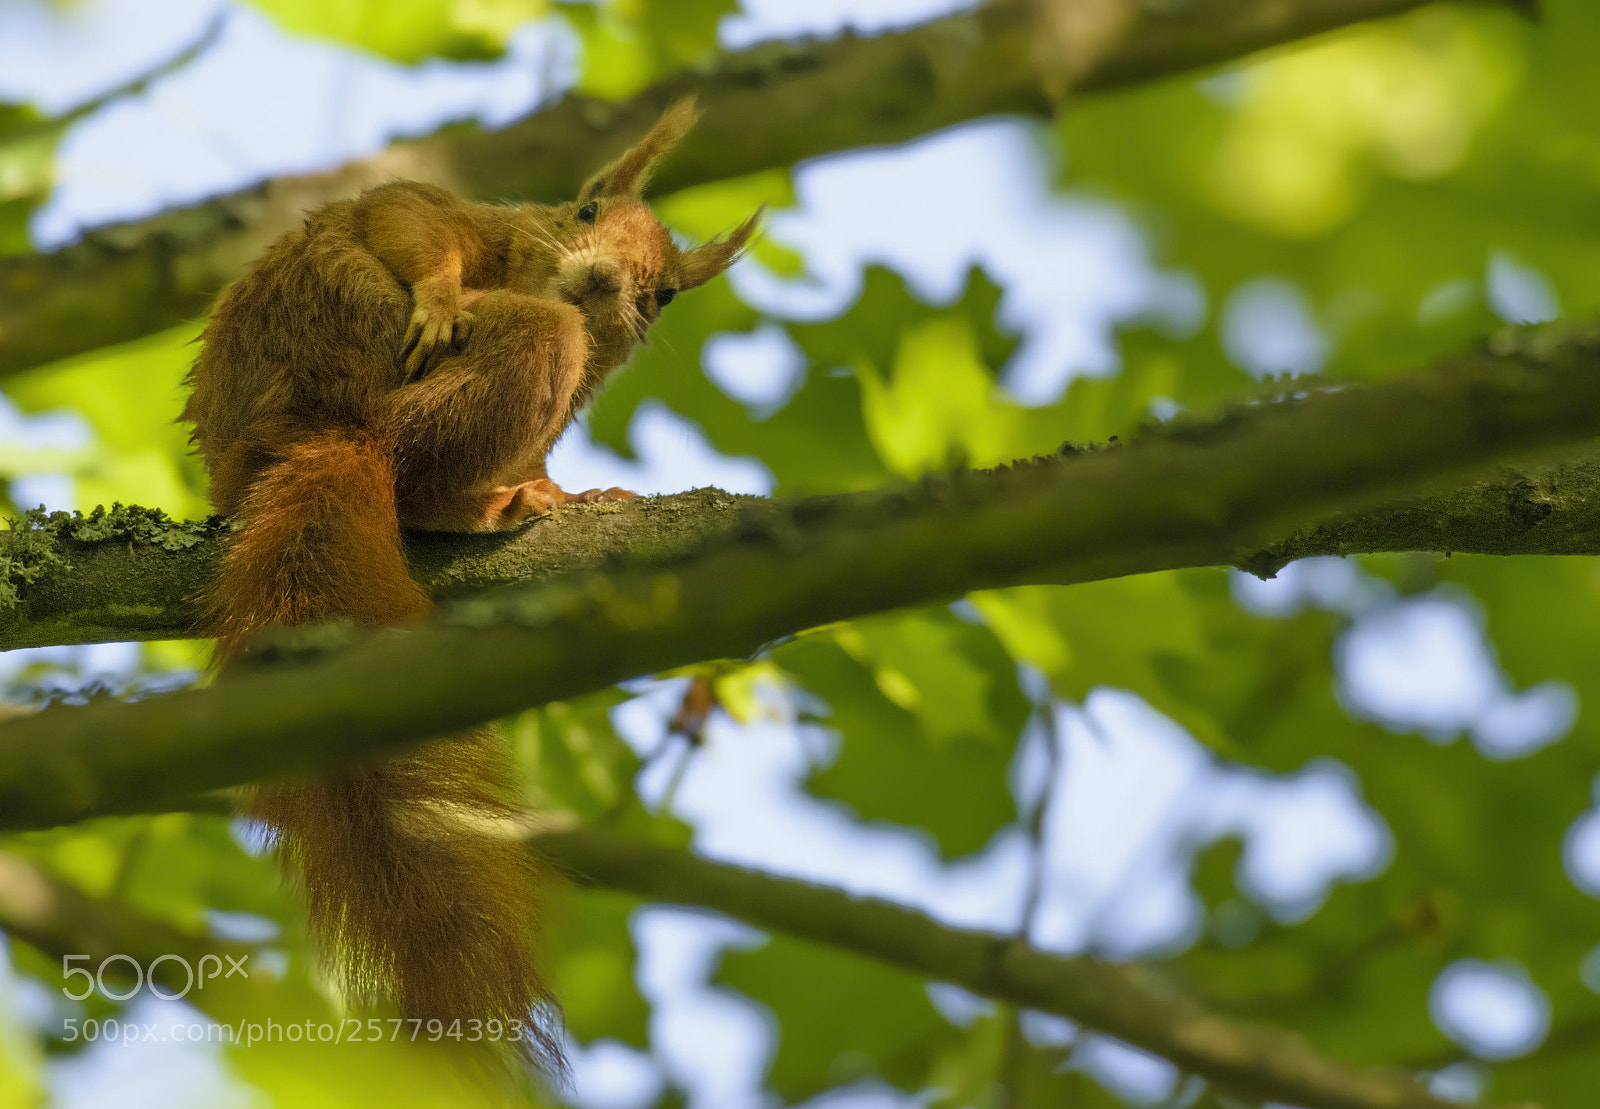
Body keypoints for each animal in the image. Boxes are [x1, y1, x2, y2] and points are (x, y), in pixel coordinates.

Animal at [181, 98, 759, 1070]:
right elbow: (408, 214)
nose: (604, 282)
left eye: (666, 293)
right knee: (446, 419)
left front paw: (573, 492)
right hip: (398, 352)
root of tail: (306, 437)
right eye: (587, 209)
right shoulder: (470, 223)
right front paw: (445, 292)